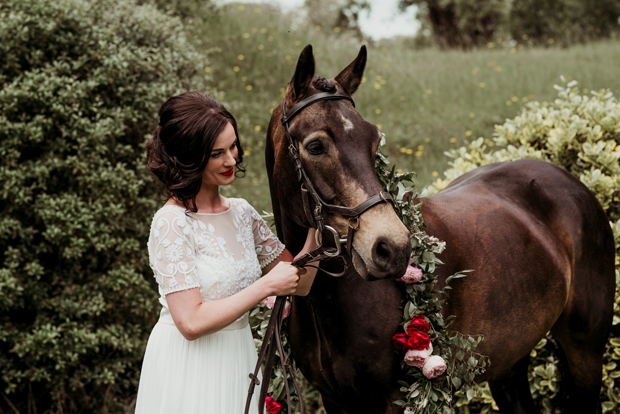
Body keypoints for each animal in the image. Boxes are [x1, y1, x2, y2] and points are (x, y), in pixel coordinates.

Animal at [266, 43, 616, 412]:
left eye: (374, 140)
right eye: (316, 146)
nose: (393, 249)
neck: (330, 302)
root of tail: (568, 181)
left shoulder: (397, 398)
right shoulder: (335, 400)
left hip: (585, 351)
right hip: (510, 361)